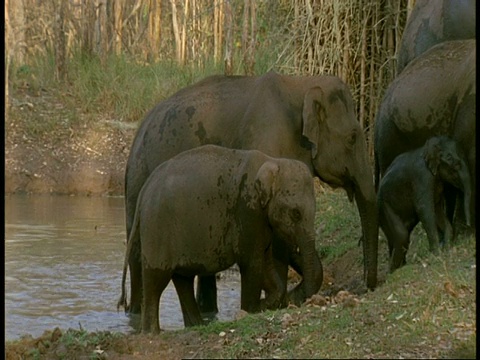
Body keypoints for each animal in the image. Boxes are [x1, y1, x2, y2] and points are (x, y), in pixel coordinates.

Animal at [118, 143, 322, 332]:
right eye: (296, 214)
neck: (271, 161)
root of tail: (144, 190)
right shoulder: (247, 211)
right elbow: (251, 263)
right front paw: (250, 310)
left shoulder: (259, 220)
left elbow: (265, 264)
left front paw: (263, 306)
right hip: (157, 228)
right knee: (156, 280)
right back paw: (152, 332)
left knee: (183, 280)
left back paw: (197, 326)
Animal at [124, 70, 378, 316]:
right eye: (352, 137)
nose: (368, 285)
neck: (302, 84)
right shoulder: (264, 142)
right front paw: (277, 301)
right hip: (138, 176)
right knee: (137, 249)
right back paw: (135, 312)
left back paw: (208, 311)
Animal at [376, 136, 470, 272]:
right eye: (455, 164)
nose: (468, 224)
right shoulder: (422, 177)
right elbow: (424, 209)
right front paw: (437, 254)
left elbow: (437, 209)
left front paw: (446, 248)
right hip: (384, 207)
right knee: (402, 235)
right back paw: (392, 272)